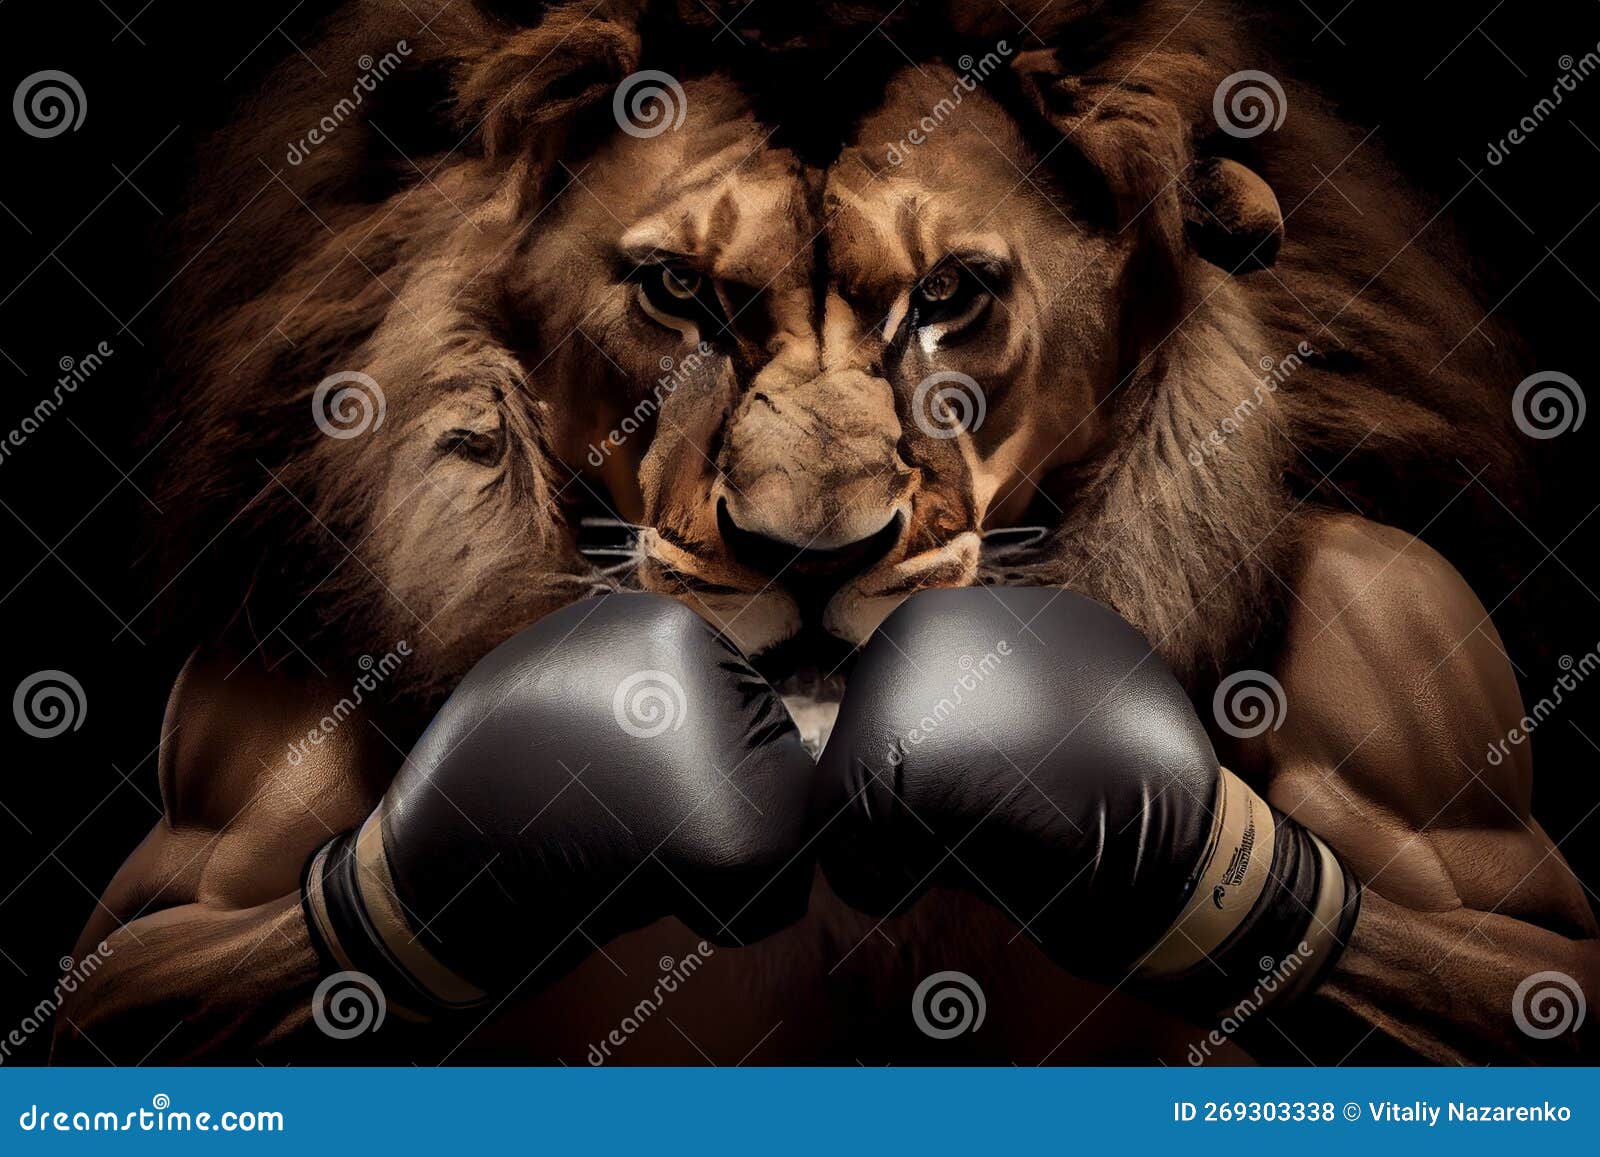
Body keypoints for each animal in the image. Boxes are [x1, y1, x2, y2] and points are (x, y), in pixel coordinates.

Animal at [56, 0, 1595, 1065]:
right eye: (680, 292)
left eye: (949, 294)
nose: (810, 559)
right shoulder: (255, 676)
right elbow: (145, 945)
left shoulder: (1396, 615)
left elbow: (1527, 956)